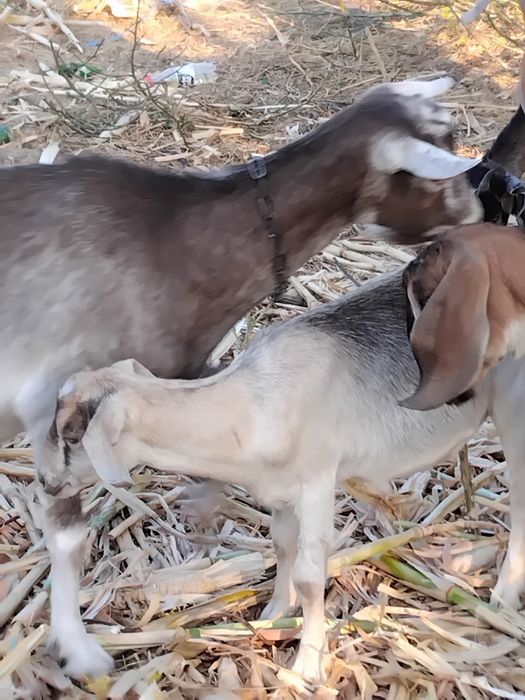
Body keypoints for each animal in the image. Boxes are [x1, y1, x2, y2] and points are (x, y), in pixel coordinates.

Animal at [39, 222, 525, 684]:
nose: (45, 480)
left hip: (513, 412)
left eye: (71, 433)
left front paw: (307, 664)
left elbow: (310, 576)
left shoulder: (317, 480)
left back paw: (501, 597)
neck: (251, 404)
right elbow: (281, 546)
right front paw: (274, 612)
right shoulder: (281, 490)